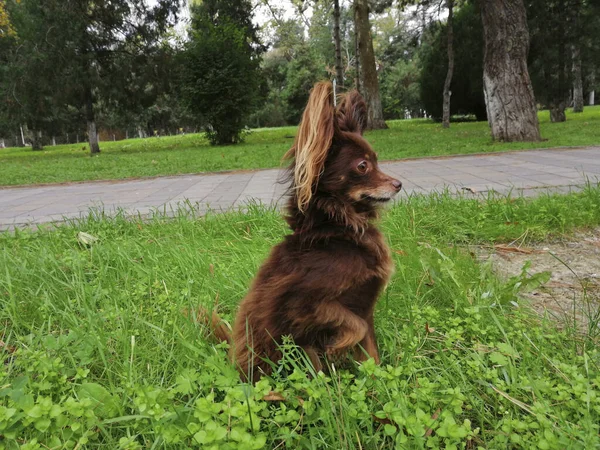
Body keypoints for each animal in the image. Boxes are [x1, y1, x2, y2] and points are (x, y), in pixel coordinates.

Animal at [206, 80, 404, 380]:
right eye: (363, 165)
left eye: (377, 161)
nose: (398, 184)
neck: (338, 232)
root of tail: (234, 362)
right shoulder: (304, 305)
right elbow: (355, 327)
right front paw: (339, 347)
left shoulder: (365, 305)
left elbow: (371, 351)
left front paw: (377, 381)